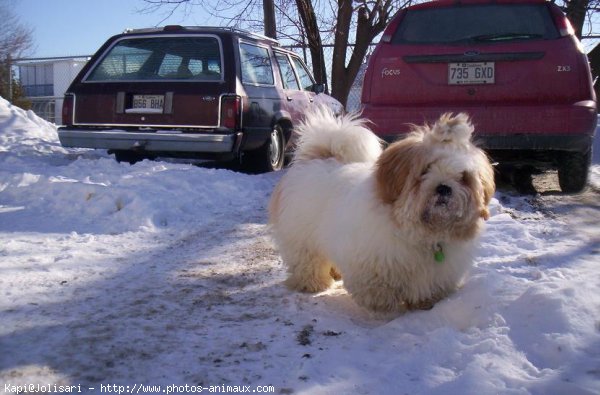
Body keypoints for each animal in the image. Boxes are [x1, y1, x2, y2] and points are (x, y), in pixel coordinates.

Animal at [270, 107, 494, 312]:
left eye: (463, 177)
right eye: (426, 170)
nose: (444, 188)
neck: (423, 234)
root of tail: (321, 156)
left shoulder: (439, 272)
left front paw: (426, 302)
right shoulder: (374, 262)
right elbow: (378, 288)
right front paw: (382, 305)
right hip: (301, 237)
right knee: (307, 261)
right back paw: (313, 283)